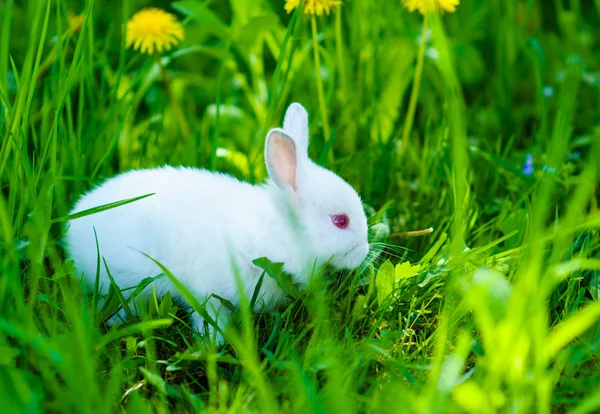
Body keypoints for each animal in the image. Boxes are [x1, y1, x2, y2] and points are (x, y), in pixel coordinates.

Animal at [64, 103, 366, 342]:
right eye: (340, 221)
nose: (364, 253)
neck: (280, 231)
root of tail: (73, 225)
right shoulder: (209, 292)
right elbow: (208, 316)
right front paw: (213, 343)